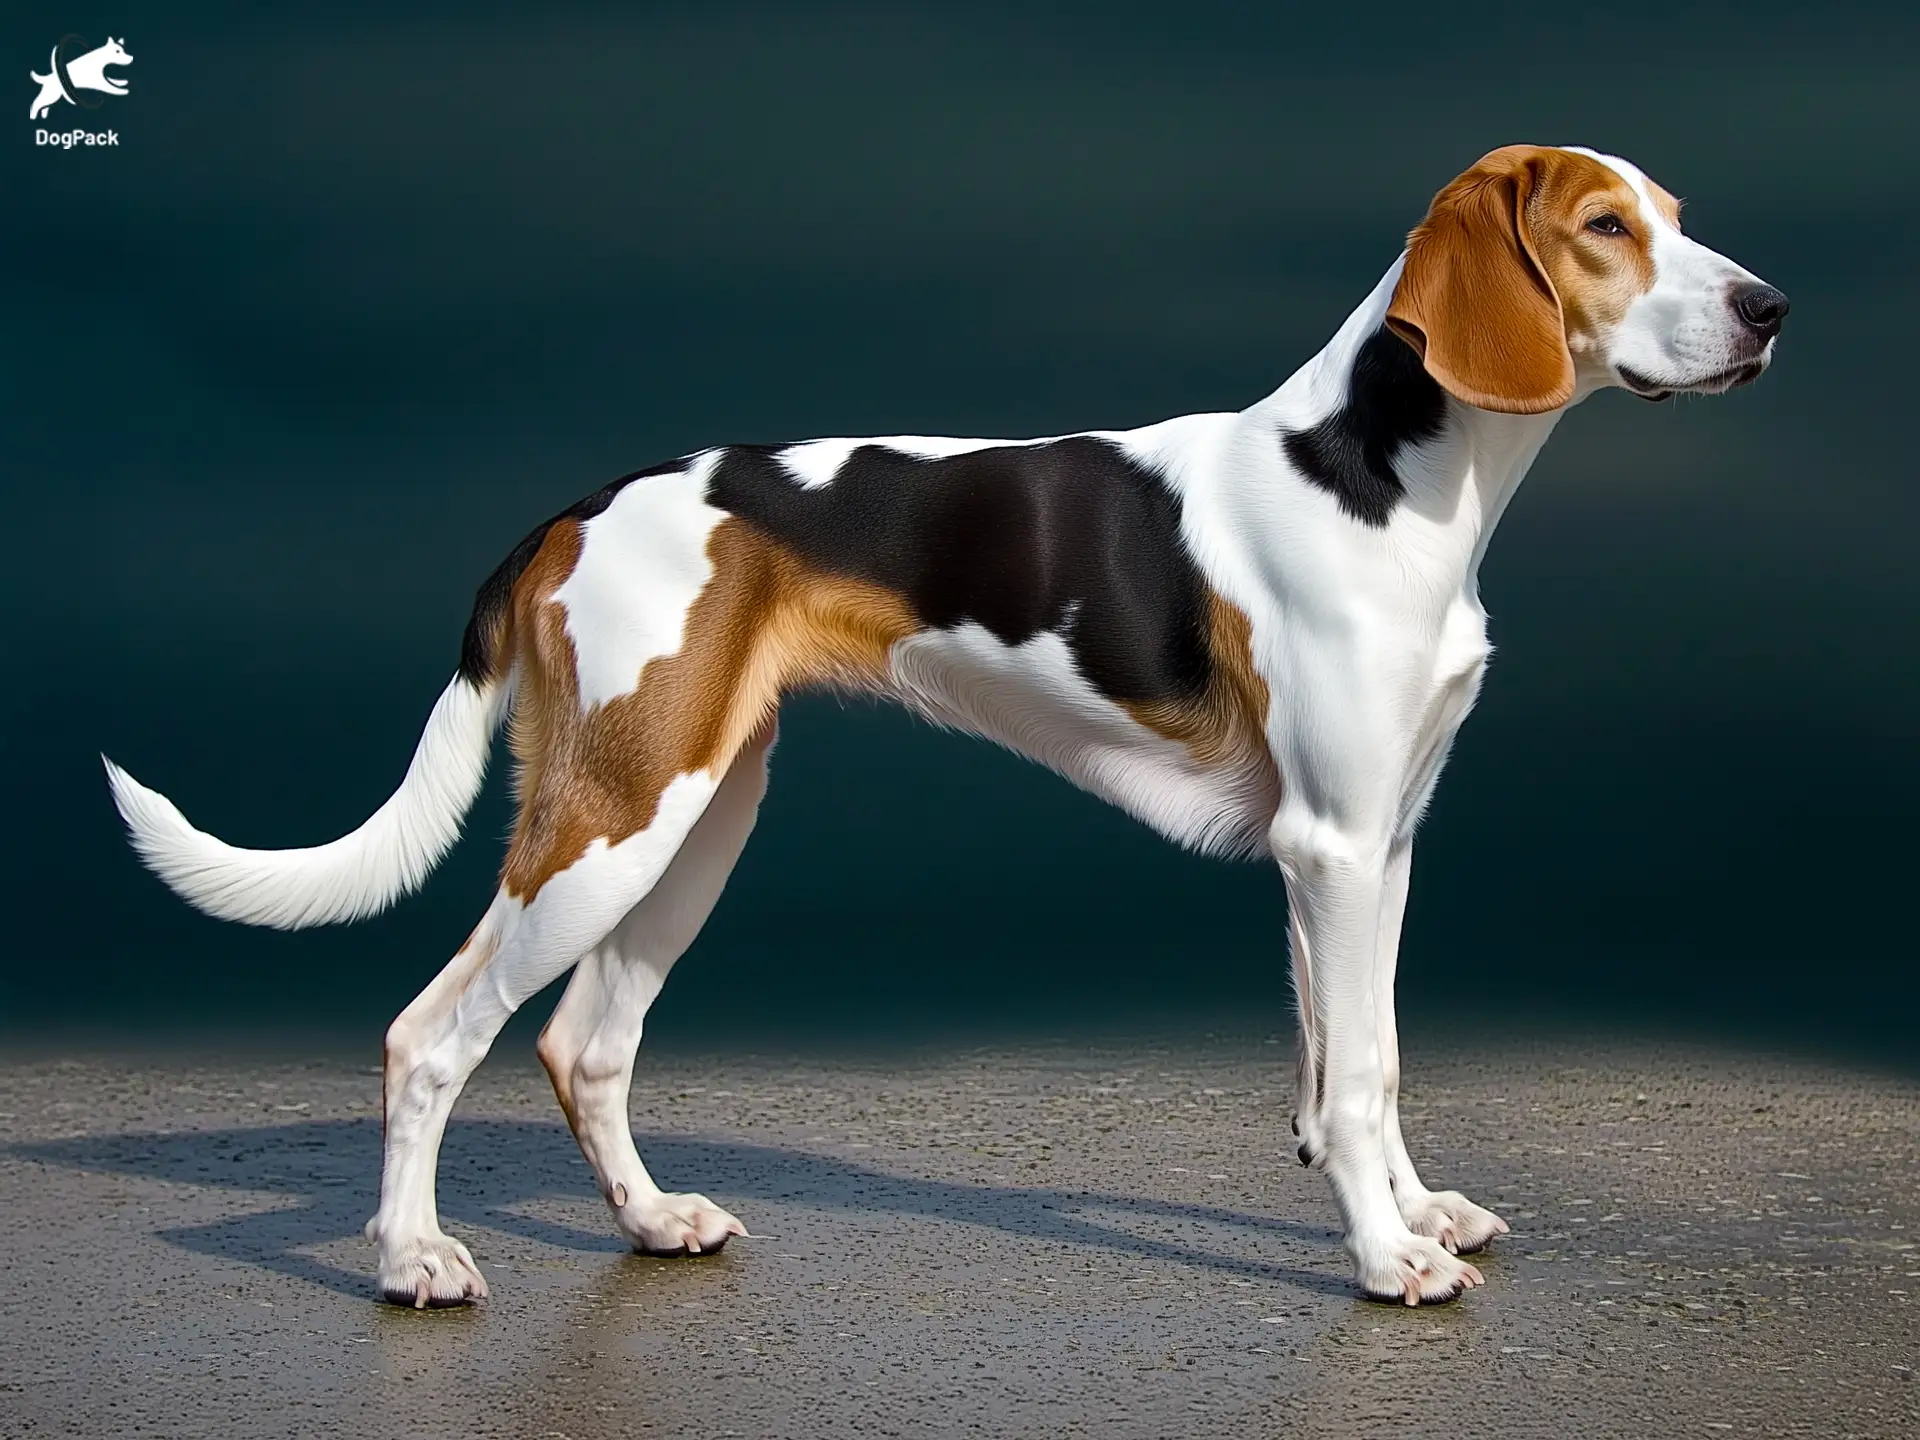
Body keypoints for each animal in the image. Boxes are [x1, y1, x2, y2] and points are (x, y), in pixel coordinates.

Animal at [101, 144, 1781, 1305]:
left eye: (1677, 212)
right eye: (1607, 228)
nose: (1770, 307)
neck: (1378, 470)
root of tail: (577, 506)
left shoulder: (1374, 850)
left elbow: (1355, 1061)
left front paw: (1413, 1211)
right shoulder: (1339, 847)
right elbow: (1358, 1077)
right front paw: (1388, 1261)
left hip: (700, 816)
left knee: (586, 1044)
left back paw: (651, 1222)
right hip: (613, 822)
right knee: (429, 1037)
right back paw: (412, 1260)